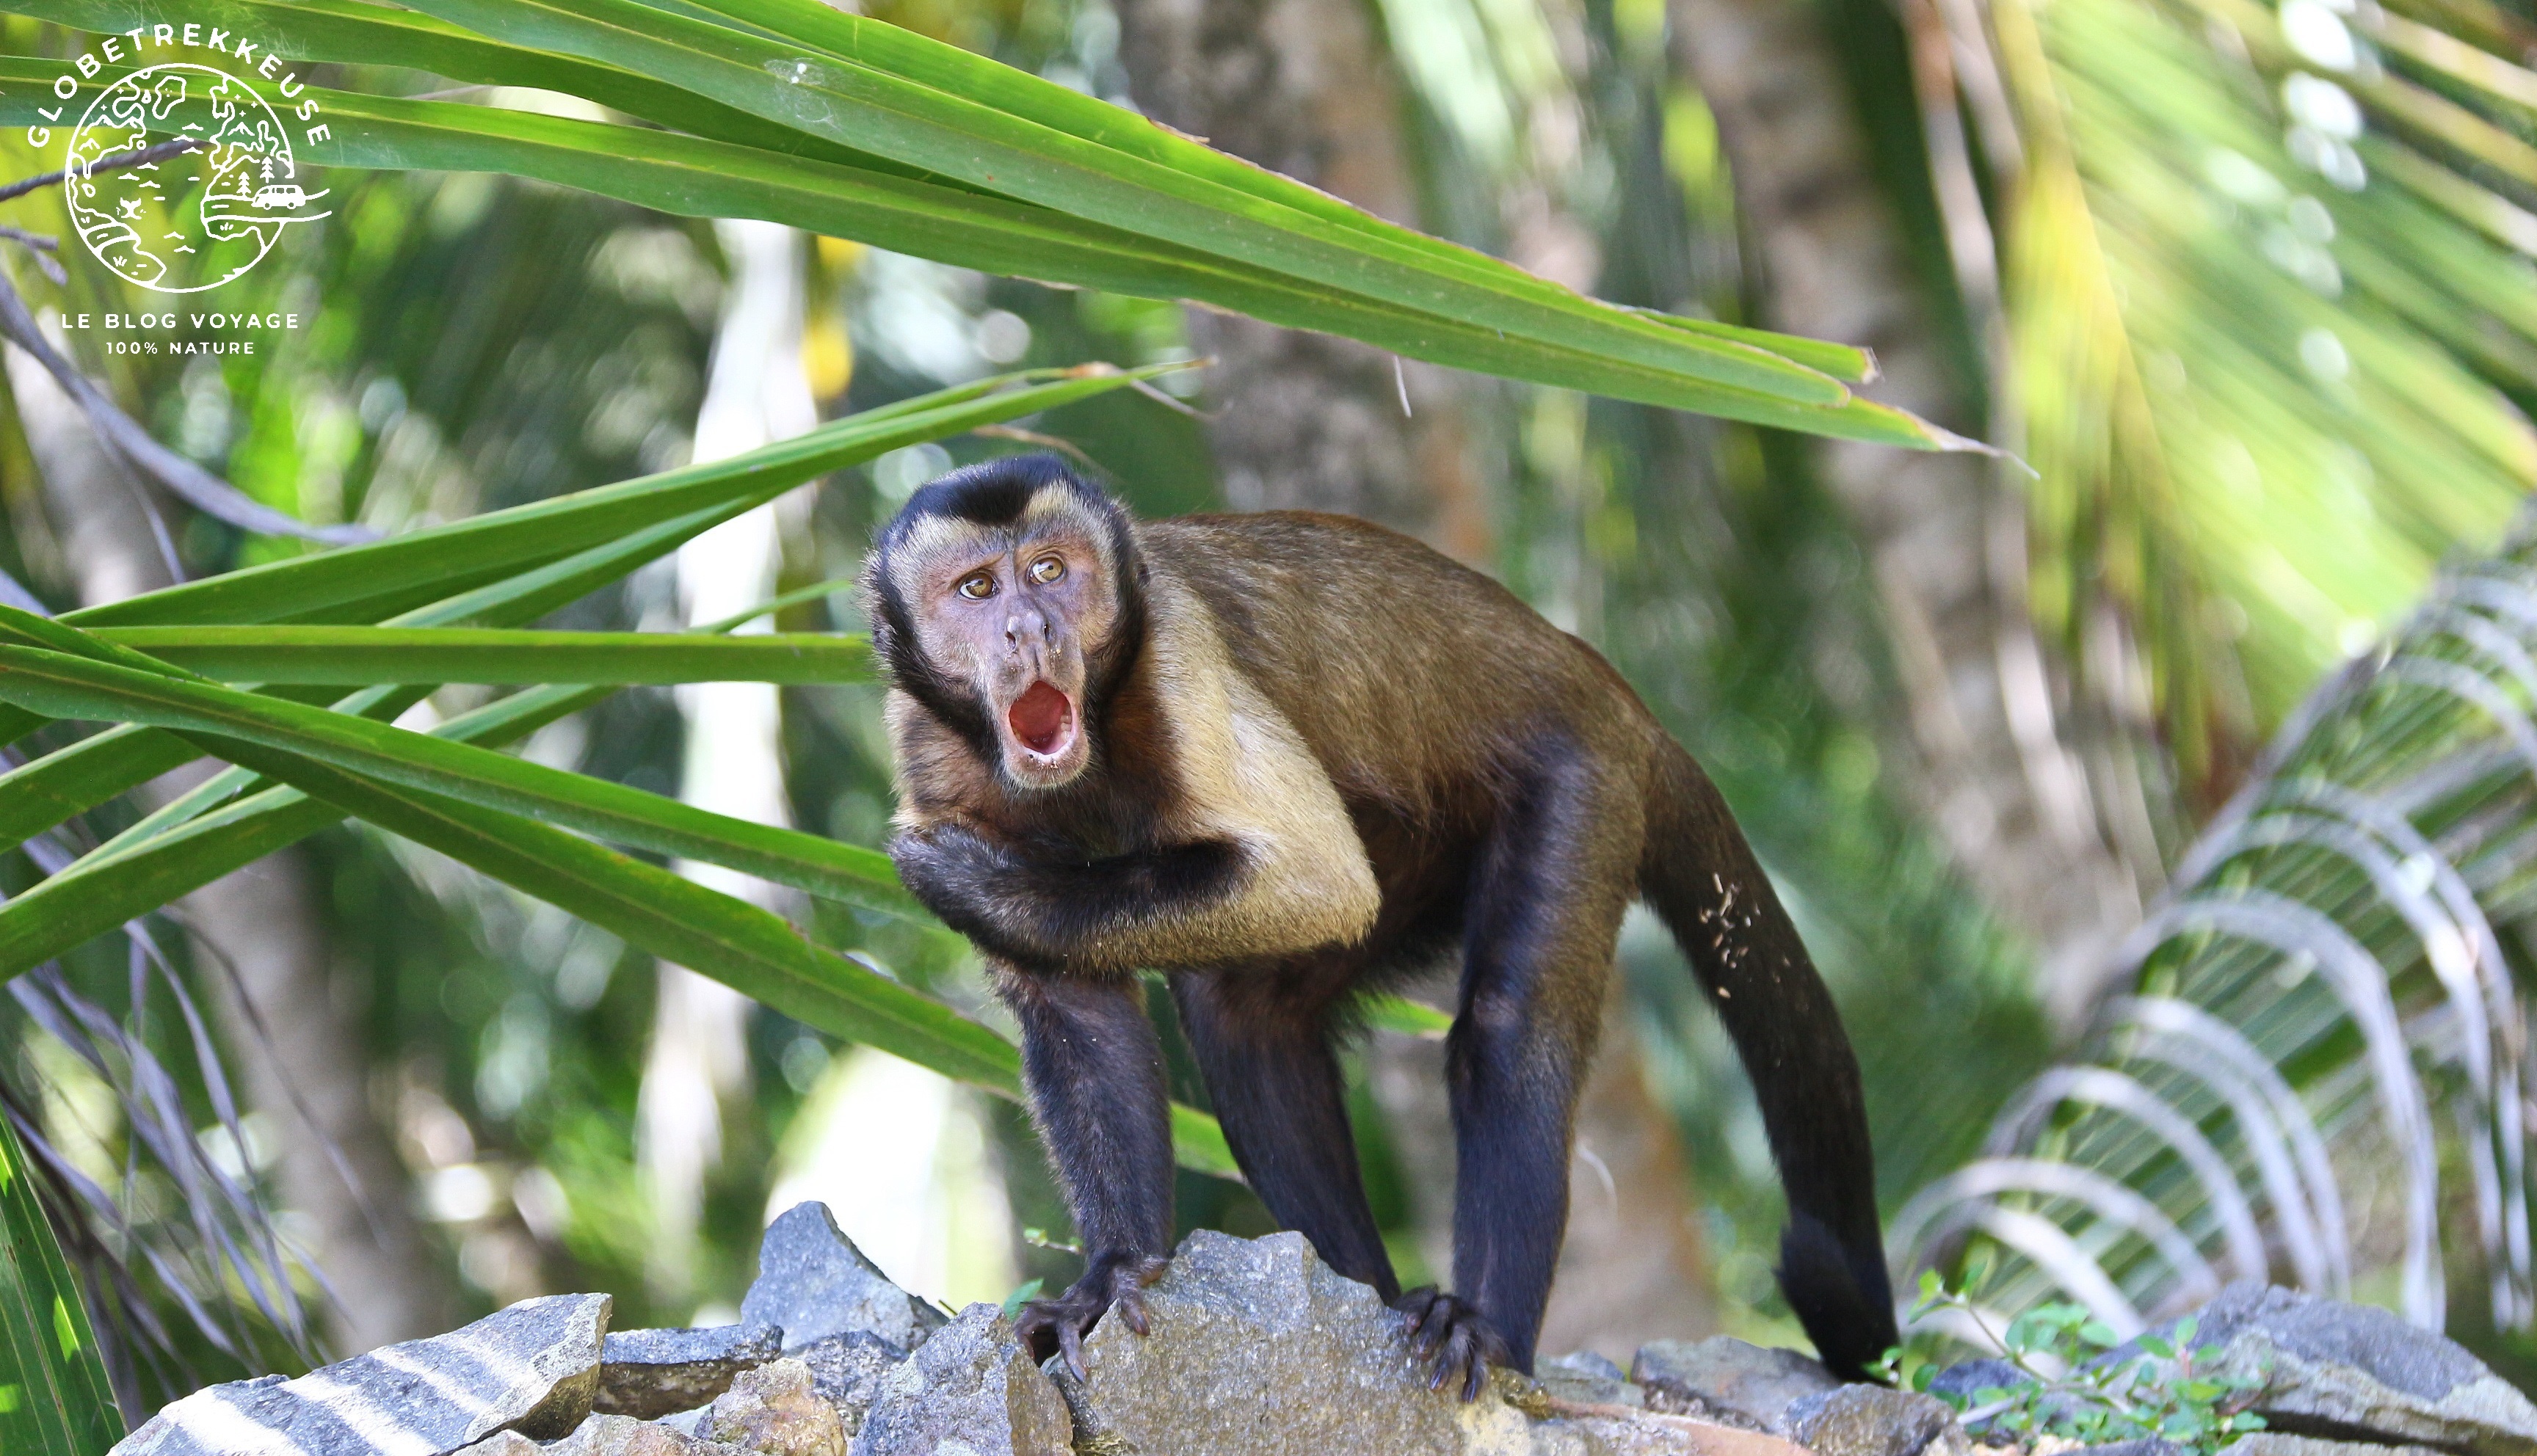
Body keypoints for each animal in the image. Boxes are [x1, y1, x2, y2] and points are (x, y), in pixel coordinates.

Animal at [863, 456, 1898, 1399]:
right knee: (1244, 1019)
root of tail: (1613, 690)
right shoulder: (923, 747)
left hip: (1586, 772)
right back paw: (1364, 1294)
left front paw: (976, 884)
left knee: (1504, 1025)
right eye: (977, 589)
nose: (1028, 626)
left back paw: (1487, 1332)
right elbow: (1077, 1014)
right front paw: (1111, 1274)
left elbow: (1318, 881)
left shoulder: (1177, 660)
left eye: (1049, 570)